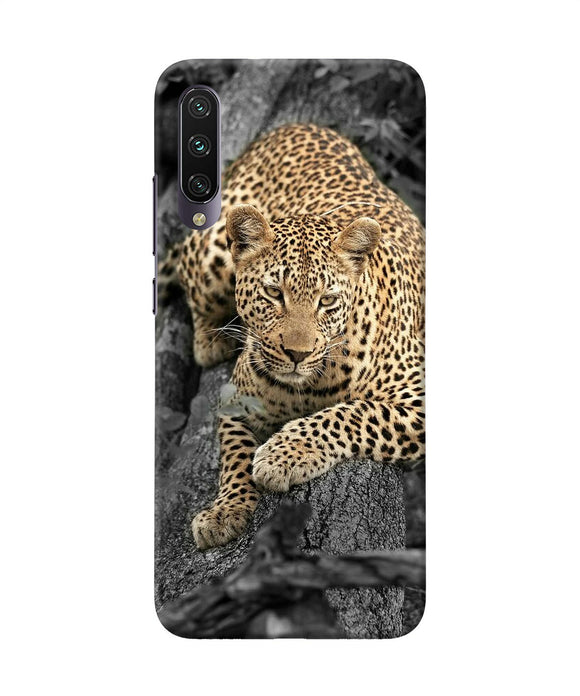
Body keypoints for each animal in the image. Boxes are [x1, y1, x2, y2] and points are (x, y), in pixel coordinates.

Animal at [173, 123, 425, 550]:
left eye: (327, 300)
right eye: (275, 293)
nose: (296, 354)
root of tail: (296, 125)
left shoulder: (418, 397)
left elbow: (353, 414)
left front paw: (283, 454)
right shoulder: (235, 400)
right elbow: (234, 455)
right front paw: (225, 510)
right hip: (213, 253)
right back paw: (211, 340)